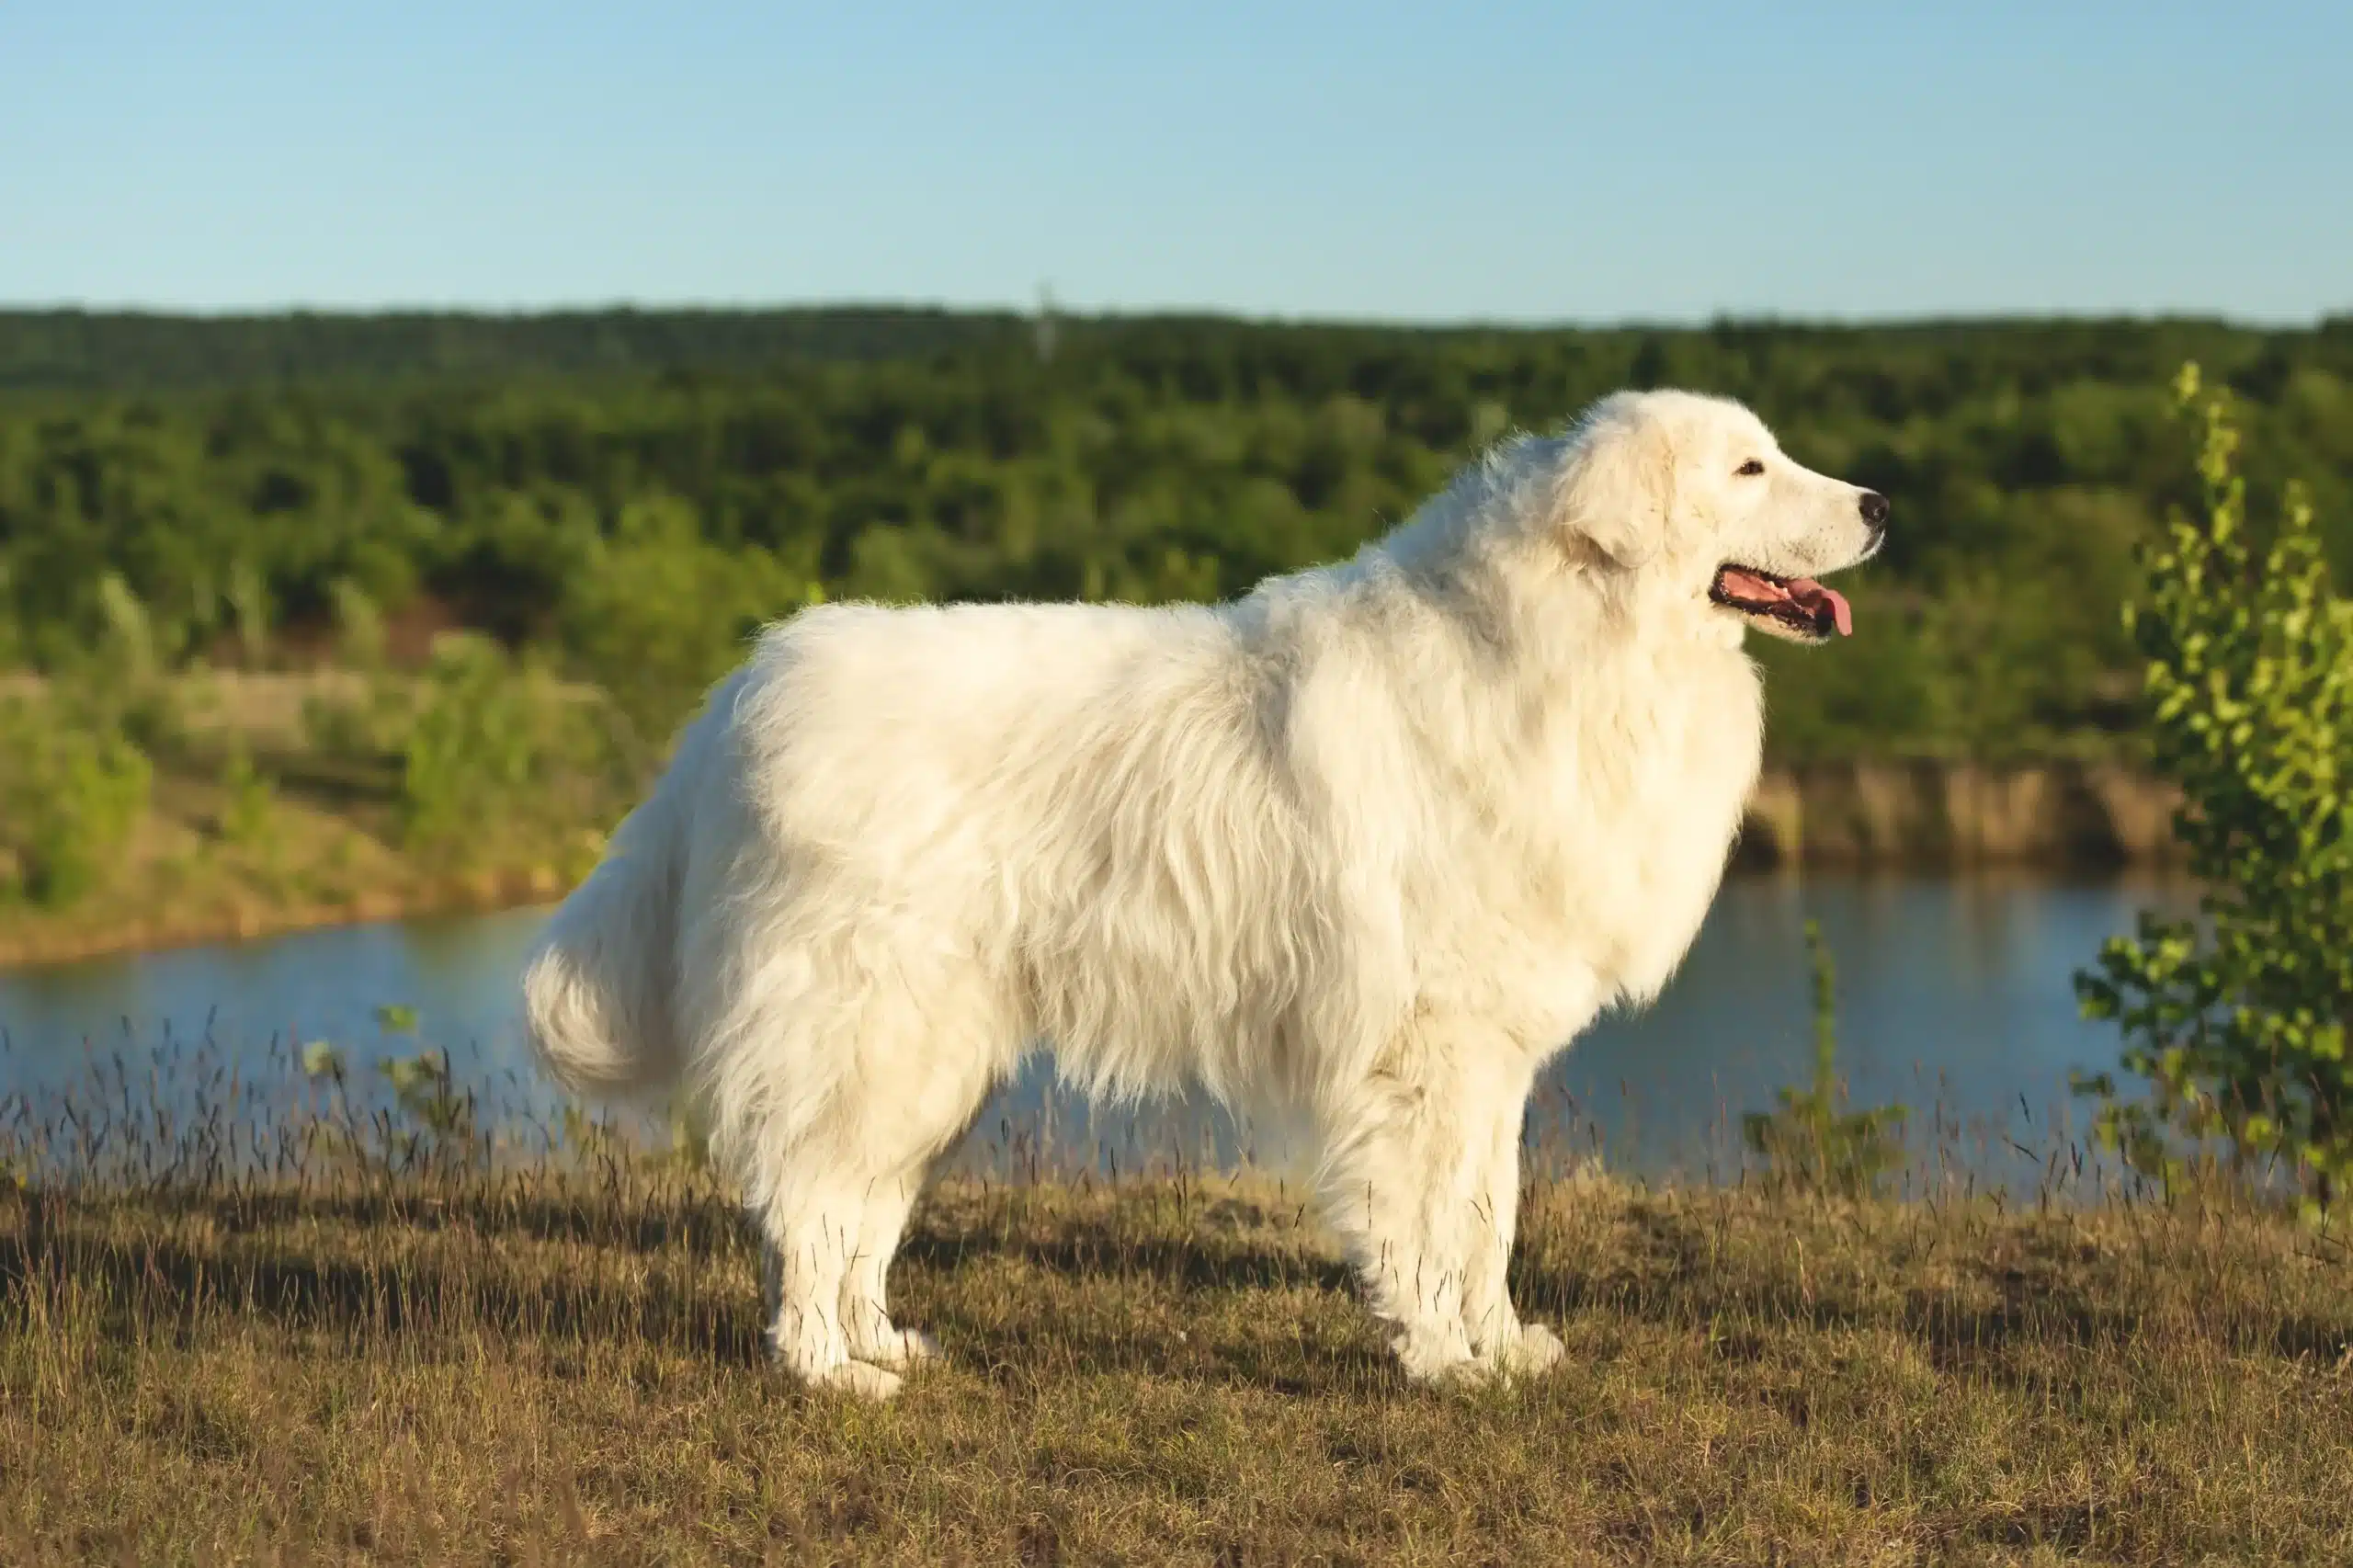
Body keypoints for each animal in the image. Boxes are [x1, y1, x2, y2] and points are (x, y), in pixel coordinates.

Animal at [524, 388, 1882, 1393]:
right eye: (1749, 468)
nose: (1878, 504)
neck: (1573, 641)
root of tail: (739, 697)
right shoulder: (1426, 1051)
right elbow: (1431, 1223)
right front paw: (1443, 1361)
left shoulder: (1490, 1055)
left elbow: (1489, 1212)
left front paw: (1501, 1349)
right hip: (871, 1030)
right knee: (810, 1200)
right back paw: (828, 1372)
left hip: (925, 1052)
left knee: (857, 1204)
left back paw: (879, 1344)